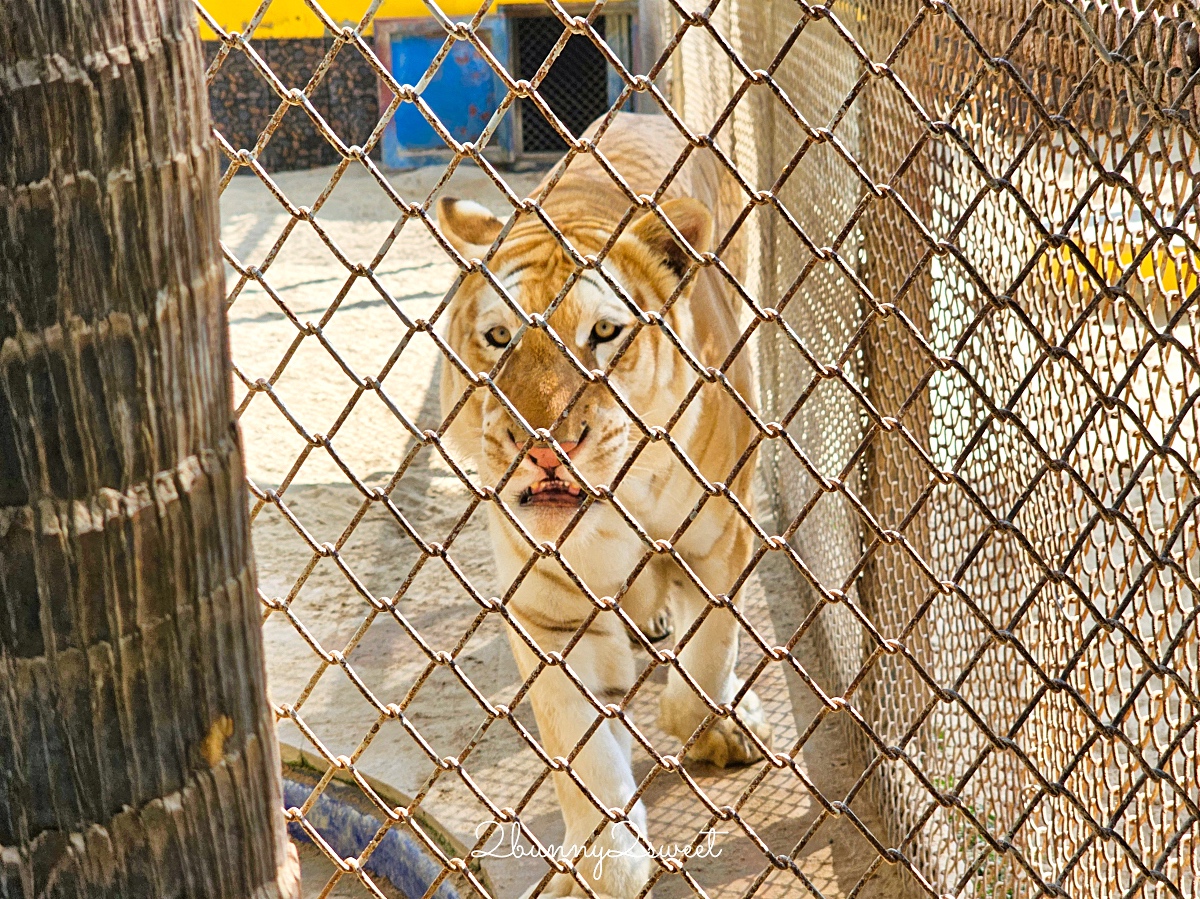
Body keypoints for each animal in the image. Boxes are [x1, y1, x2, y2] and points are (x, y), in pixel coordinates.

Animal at [436, 112, 772, 897]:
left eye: (604, 333)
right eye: (499, 337)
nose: (545, 446)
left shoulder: (722, 536)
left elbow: (708, 653)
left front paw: (717, 727)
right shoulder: (547, 605)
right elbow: (578, 746)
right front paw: (601, 863)